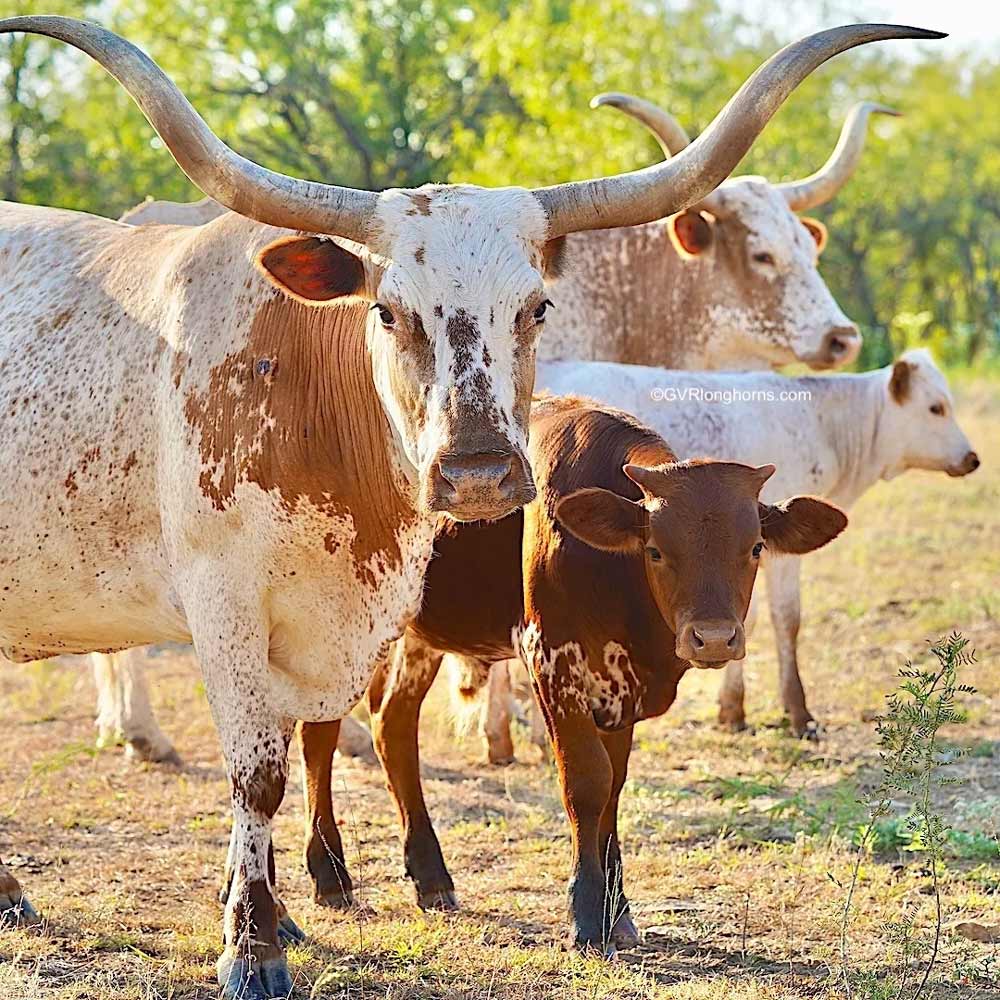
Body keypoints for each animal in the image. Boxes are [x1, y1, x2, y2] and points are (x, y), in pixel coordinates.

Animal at [296, 394, 844, 948]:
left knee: (393, 724)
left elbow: (614, 788)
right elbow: (586, 782)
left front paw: (617, 911)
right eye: (656, 550)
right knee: (319, 737)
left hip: (418, 633)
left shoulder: (623, 689)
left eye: (754, 547)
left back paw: (430, 874)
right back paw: (331, 873)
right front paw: (585, 912)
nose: (713, 638)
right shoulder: (551, 664)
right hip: (337, 625)